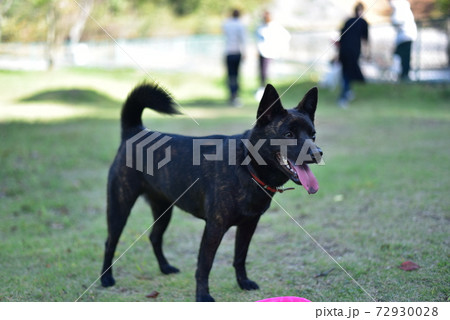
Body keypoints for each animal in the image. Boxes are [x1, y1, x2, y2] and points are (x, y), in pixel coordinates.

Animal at [100, 82, 322, 300]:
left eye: (313, 135)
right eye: (288, 135)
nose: (318, 153)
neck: (246, 165)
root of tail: (134, 132)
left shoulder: (249, 225)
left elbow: (240, 257)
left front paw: (243, 283)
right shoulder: (214, 228)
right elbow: (204, 265)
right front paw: (203, 296)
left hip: (163, 209)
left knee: (155, 237)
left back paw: (165, 268)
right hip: (120, 207)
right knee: (110, 241)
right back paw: (106, 279)